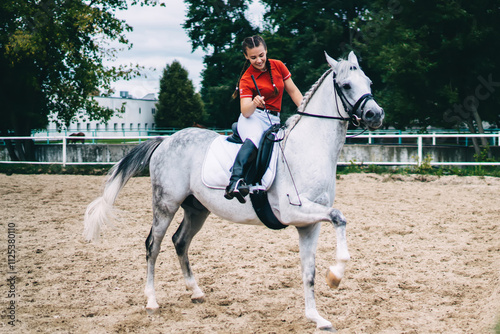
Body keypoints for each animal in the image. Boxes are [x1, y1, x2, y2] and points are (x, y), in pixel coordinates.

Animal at [84, 51, 384, 330]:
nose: (375, 114)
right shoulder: (295, 211)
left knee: (180, 241)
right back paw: (151, 301)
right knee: (152, 245)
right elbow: (338, 216)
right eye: (346, 85)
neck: (308, 148)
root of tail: (165, 140)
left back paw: (196, 292)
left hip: (197, 209)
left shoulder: (309, 223)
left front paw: (317, 317)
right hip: (165, 205)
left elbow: (309, 269)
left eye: (368, 82)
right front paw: (335, 276)